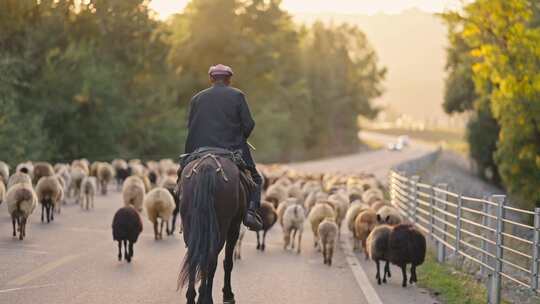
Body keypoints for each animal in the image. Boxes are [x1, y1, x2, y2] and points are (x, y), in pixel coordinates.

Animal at [177, 154, 247, 304]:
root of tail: (207, 164)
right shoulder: (234, 227)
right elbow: (228, 262)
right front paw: (228, 294)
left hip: (191, 227)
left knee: (194, 258)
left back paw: (192, 297)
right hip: (221, 228)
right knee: (211, 260)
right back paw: (206, 298)